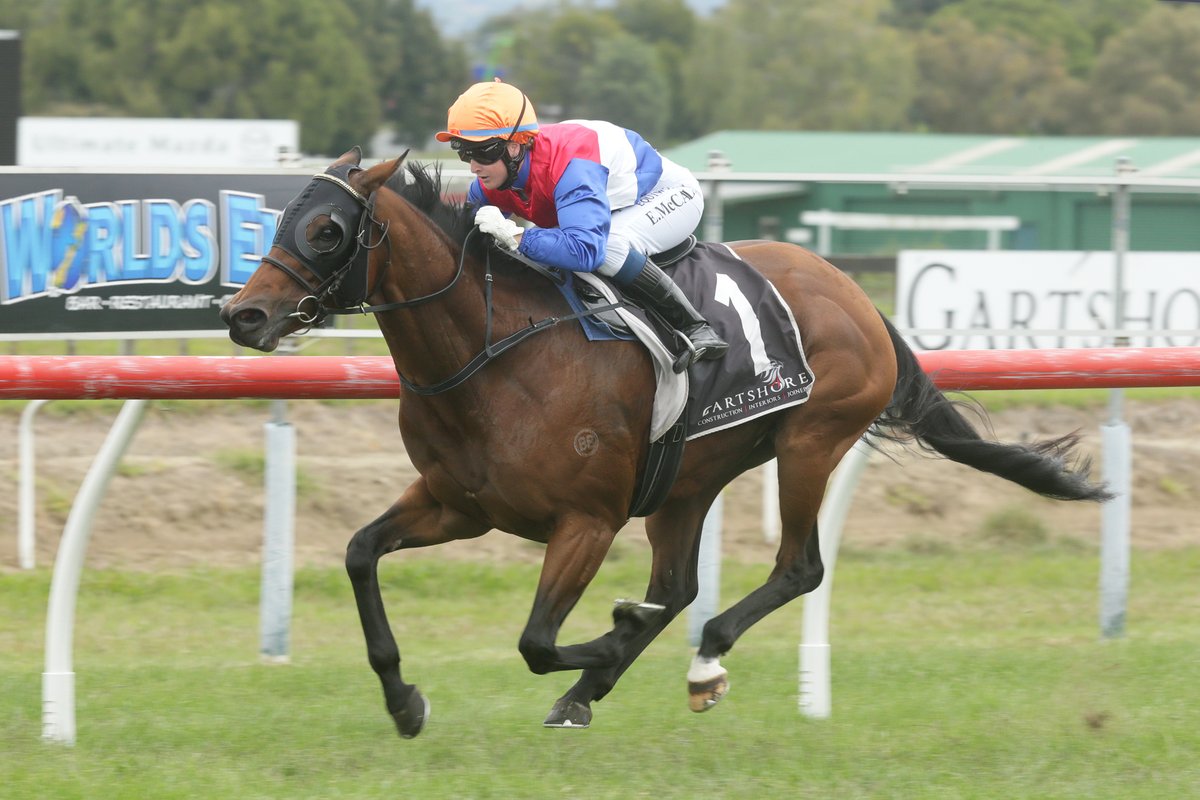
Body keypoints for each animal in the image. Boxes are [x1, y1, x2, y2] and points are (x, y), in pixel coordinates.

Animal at [220, 148, 1110, 738]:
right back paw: (603, 683)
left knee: (795, 568)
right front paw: (404, 702)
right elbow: (360, 554)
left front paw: (609, 636)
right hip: (687, 480)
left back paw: (698, 663)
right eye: (279, 218)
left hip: (811, 441)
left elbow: (537, 641)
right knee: (681, 586)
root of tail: (853, 290)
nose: (244, 315)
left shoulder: (585, 521)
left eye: (327, 229)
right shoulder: (457, 504)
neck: (496, 351)